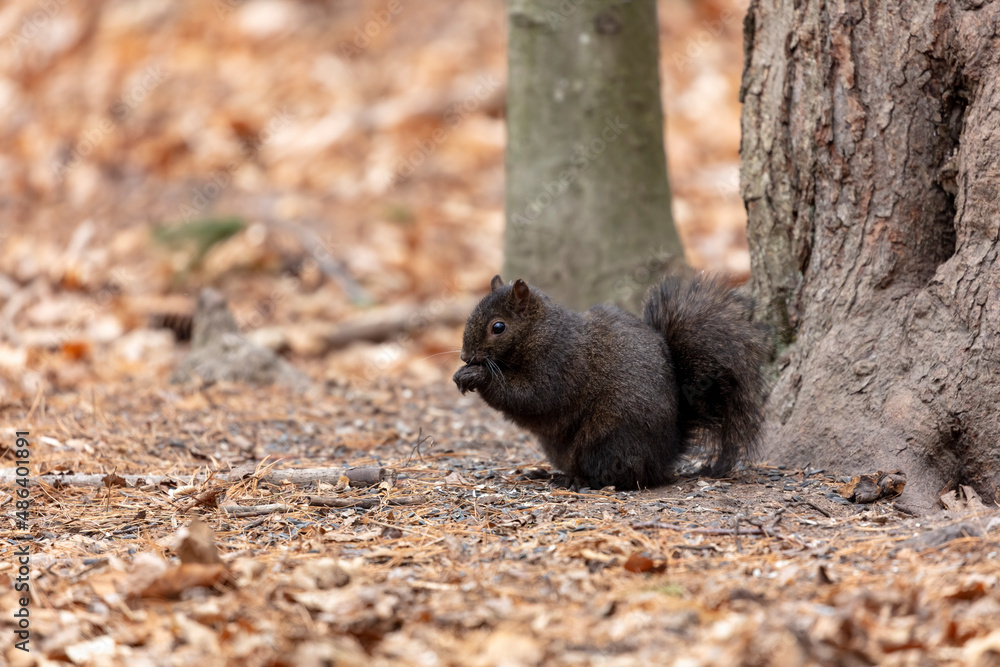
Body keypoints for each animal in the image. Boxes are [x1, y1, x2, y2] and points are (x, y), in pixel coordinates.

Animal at [456, 276, 772, 490]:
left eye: (498, 327)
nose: (465, 356)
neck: (539, 332)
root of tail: (666, 454)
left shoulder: (559, 363)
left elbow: (531, 396)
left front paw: (477, 376)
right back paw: (553, 474)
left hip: (609, 438)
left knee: (622, 476)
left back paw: (579, 482)